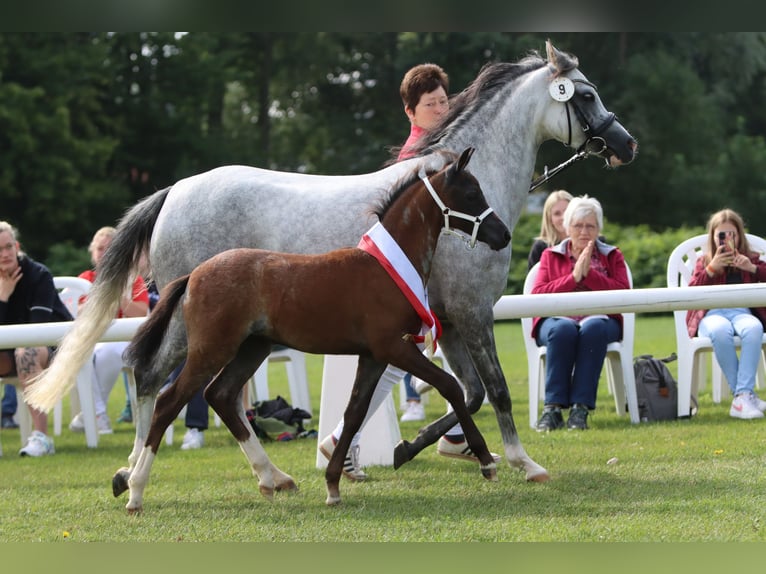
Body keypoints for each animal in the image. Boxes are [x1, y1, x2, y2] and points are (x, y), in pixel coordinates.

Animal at [27, 40, 640, 504]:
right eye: (585, 94)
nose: (626, 144)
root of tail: (173, 191)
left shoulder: (441, 320)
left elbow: (465, 393)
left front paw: (409, 448)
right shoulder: (470, 313)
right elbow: (494, 390)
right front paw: (519, 460)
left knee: (210, 392)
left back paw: (267, 476)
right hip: (195, 327)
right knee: (156, 379)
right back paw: (133, 475)